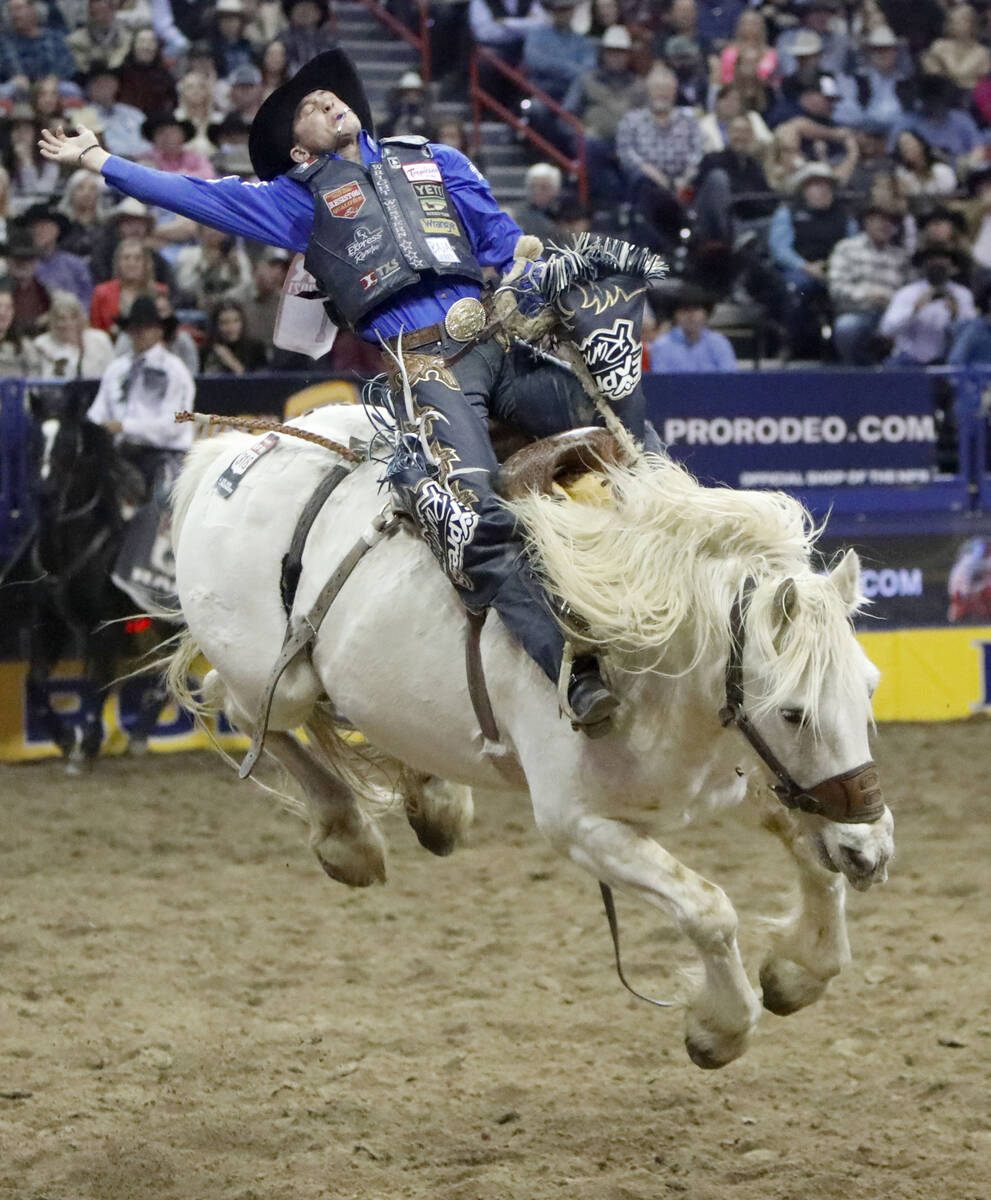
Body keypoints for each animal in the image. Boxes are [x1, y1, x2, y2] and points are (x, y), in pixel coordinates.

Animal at [19, 384, 173, 772]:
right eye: (34, 439)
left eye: (67, 442)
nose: (45, 491)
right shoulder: (48, 622)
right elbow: (35, 684)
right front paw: (63, 739)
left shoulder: (105, 626)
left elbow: (97, 681)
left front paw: (86, 744)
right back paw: (139, 734)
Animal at [165, 405, 892, 1070]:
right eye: (793, 712)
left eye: (870, 687)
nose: (871, 853)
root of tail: (238, 451)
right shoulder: (580, 827)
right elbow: (710, 910)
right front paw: (719, 1029)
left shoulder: (748, 779)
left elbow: (811, 853)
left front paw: (798, 970)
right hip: (273, 675)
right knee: (238, 704)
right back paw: (348, 837)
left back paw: (433, 800)